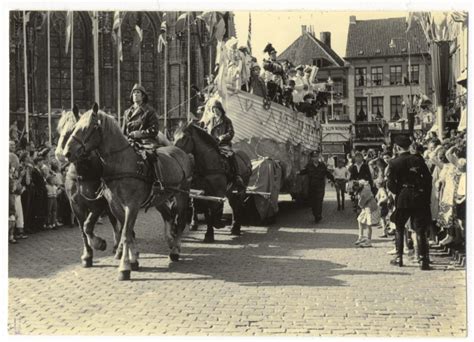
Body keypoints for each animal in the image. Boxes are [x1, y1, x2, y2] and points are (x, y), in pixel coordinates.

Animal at [54, 108, 121, 268]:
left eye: (74, 128)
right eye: (60, 129)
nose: (61, 154)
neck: (82, 173)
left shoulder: (98, 204)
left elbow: (88, 226)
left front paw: (99, 243)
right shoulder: (76, 206)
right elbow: (83, 230)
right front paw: (87, 255)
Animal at [63, 104, 193, 280]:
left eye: (89, 127)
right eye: (74, 128)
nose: (66, 153)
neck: (123, 163)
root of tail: (180, 152)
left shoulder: (130, 205)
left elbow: (125, 233)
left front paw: (124, 267)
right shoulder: (113, 205)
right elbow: (126, 231)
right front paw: (133, 260)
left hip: (182, 195)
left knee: (181, 221)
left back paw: (175, 250)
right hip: (159, 199)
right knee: (168, 216)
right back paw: (170, 241)